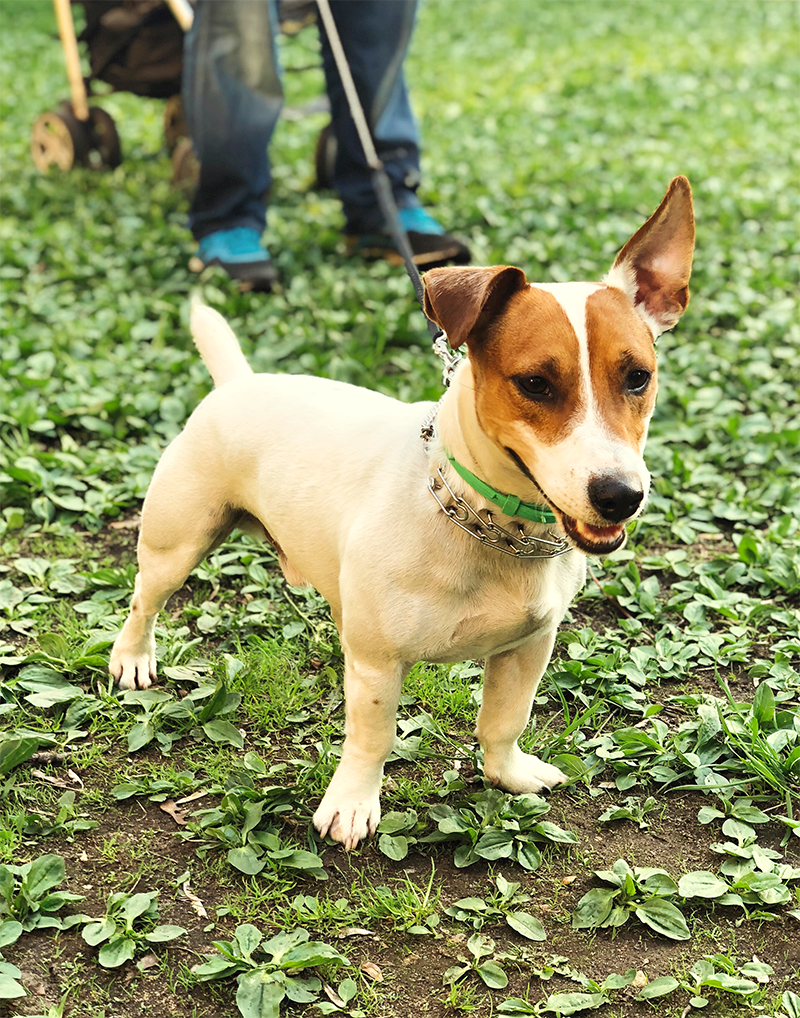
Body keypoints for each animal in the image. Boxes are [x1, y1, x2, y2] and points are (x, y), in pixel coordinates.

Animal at [107, 177, 692, 851]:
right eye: (535, 384)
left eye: (638, 377)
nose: (620, 494)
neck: (490, 523)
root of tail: (238, 384)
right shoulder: (376, 664)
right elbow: (372, 738)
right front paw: (352, 803)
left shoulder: (529, 646)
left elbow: (503, 720)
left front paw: (508, 774)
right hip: (178, 542)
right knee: (145, 599)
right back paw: (132, 657)